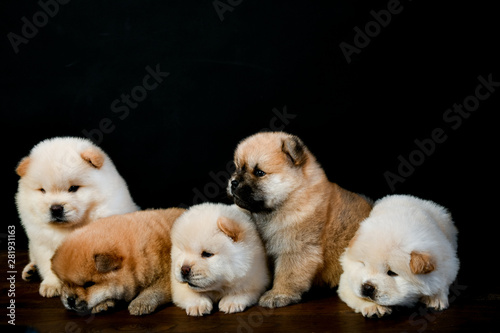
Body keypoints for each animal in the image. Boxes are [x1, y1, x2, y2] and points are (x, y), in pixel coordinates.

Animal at [15, 136, 139, 296]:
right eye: (42, 190)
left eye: (73, 188)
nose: (56, 208)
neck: (69, 228)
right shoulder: (43, 242)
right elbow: (49, 265)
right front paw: (51, 285)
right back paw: (31, 270)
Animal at [51, 208, 186, 314]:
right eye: (64, 283)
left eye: (88, 284)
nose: (70, 299)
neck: (135, 262)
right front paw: (104, 303)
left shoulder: (166, 276)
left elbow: (153, 291)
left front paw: (140, 303)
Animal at [227, 131, 372, 308]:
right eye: (237, 168)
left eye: (259, 172)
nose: (233, 182)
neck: (292, 197)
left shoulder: (296, 248)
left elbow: (287, 273)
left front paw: (278, 294)